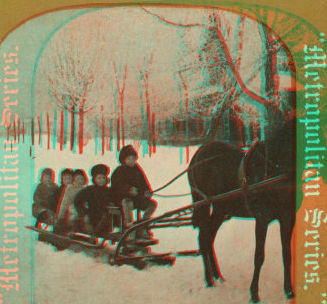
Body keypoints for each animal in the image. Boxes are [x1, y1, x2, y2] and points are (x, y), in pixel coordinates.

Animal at [188, 119, 302, 304]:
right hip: (201, 203)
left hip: (220, 209)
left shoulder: (287, 218)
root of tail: (198, 153)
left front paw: (289, 291)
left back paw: (217, 276)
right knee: (203, 238)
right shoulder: (262, 220)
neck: (276, 168)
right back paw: (209, 280)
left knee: (208, 238)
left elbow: (287, 255)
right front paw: (254, 294)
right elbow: (259, 256)